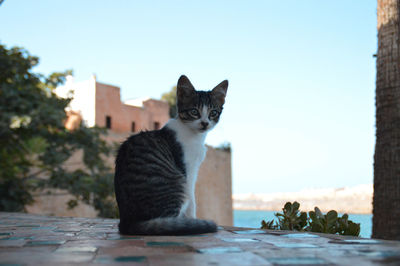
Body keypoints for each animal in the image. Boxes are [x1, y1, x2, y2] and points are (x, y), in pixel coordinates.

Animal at [115, 75, 228, 235]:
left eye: (213, 112)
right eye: (194, 111)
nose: (205, 123)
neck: (195, 136)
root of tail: (127, 223)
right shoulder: (188, 170)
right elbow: (192, 201)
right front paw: (192, 220)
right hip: (177, 184)